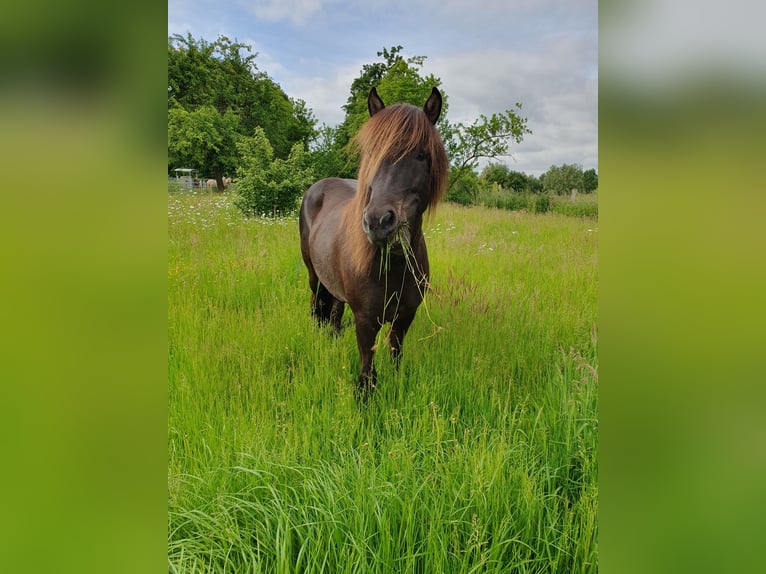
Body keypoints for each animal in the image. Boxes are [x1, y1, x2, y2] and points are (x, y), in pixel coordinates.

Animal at [299, 87, 448, 397]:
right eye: (371, 152)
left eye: (421, 154)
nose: (379, 221)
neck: (392, 266)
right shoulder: (366, 321)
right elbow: (367, 373)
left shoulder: (404, 318)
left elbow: (396, 359)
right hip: (313, 277)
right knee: (316, 306)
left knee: (334, 312)